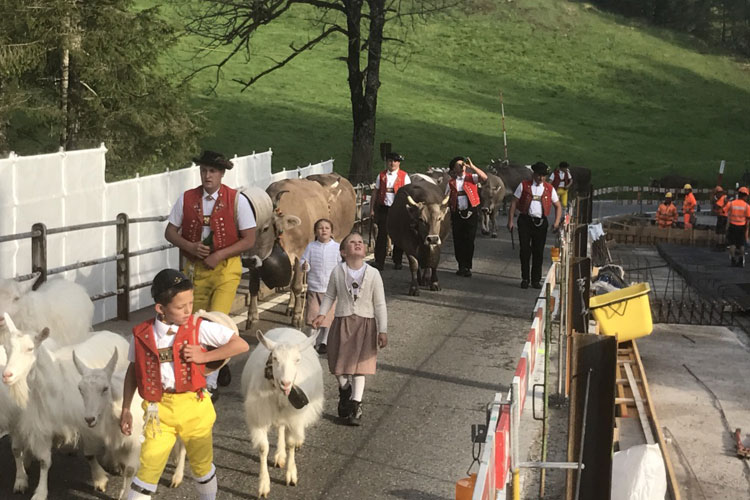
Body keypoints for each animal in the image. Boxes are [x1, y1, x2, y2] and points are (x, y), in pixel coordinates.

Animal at [1, 312, 129, 500]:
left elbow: (89, 454)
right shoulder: (39, 426)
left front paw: (99, 479)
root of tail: (114, 334)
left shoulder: (86, 419)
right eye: (6, 349)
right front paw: (36, 489)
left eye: (30, 349)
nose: (7, 375)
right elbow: (42, 460)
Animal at [73, 350, 189, 498]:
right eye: (80, 389)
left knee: (183, 446)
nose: (89, 419)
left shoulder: (136, 441)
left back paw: (177, 477)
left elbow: (130, 469)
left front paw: (125, 494)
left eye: (105, 388)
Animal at [241, 328, 324, 496]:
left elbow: (290, 443)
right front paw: (264, 485)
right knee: (280, 428)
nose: (286, 383)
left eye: (297, 360)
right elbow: (263, 448)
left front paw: (291, 475)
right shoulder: (260, 416)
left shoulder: (294, 418)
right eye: (274, 358)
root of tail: (288, 328)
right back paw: (280, 455)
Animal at [244, 175, 356, 328]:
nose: (246, 260)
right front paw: (252, 316)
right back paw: (290, 306)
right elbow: (253, 287)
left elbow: (296, 286)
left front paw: (297, 316)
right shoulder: (257, 260)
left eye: (265, 228)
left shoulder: (299, 254)